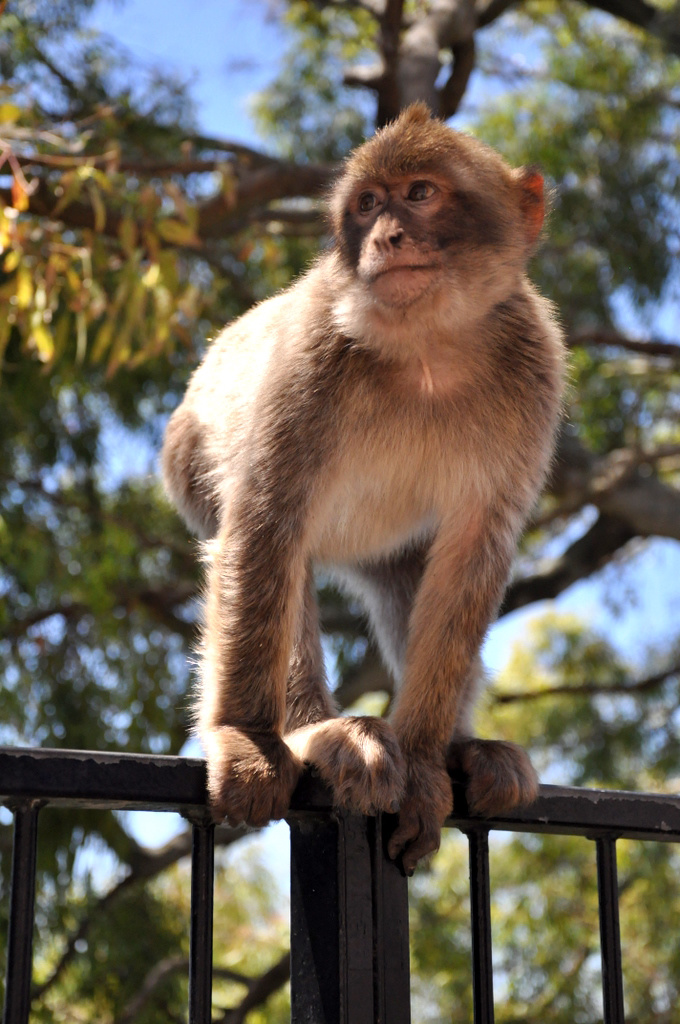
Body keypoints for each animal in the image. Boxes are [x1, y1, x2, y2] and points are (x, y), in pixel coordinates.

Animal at [161, 101, 565, 872]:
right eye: (369, 204)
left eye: (420, 193)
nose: (386, 236)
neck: (428, 345)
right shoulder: (311, 356)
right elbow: (265, 523)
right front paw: (247, 737)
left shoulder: (535, 369)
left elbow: (474, 551)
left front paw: (426, 766)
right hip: (190, 464)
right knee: (281, 559)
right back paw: (319, 734)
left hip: (384, 549)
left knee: (409, 580)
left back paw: (459, 748)